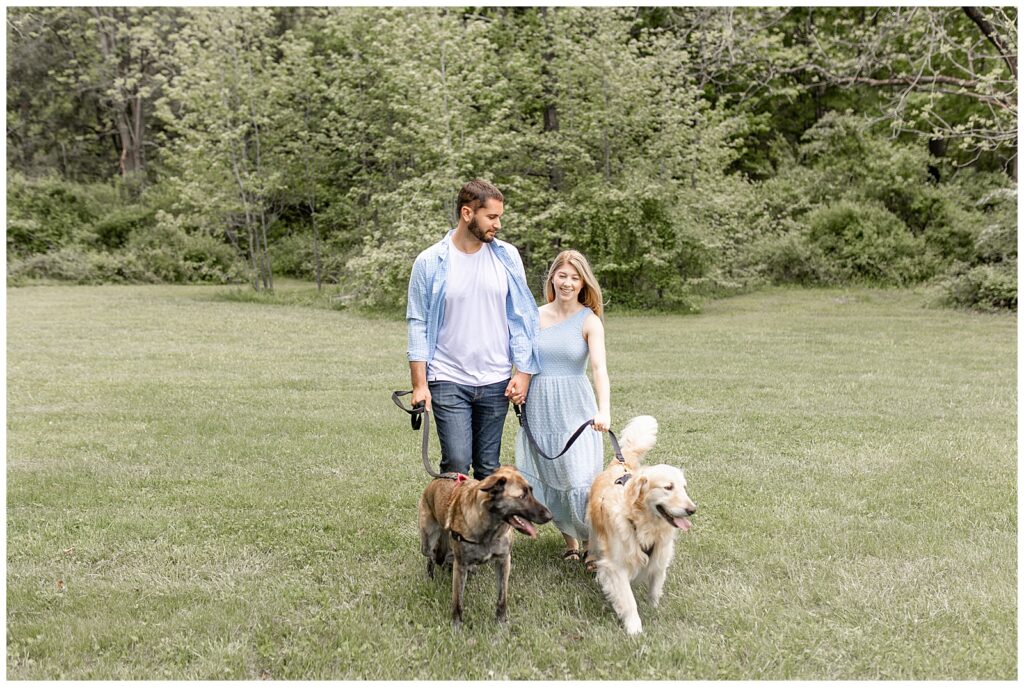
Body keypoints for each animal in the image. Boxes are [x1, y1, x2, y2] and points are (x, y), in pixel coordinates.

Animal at [417, 466, 552, 630]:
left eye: (531, 491)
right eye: (522, 496)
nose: (550, 516)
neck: (490, 528)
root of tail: (439, 478)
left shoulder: (503, 561)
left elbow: (502, 598)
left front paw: (501, 623)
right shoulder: (460, 565)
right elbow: (457, 601)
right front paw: (456, 626)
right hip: (427, 542)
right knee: (431, 556)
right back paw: (430, 577)